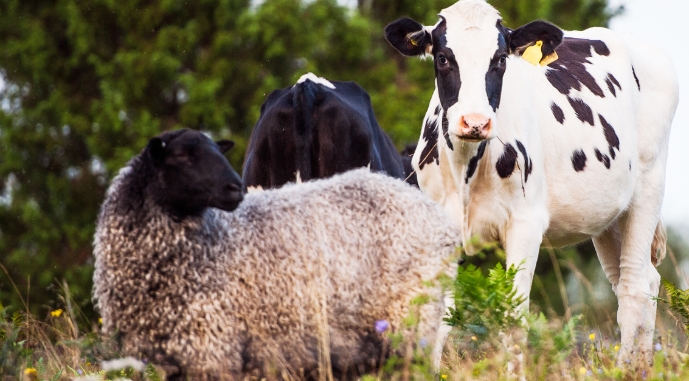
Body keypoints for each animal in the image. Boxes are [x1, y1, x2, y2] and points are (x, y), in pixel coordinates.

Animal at [384, 0, 680, 362]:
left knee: (634, 288)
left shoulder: (525, 223)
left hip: (649, 187)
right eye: (442, 57)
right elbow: (439, 316)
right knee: (640, 281)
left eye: (500, 59)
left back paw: (626, 368)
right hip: (609, 216)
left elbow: (513, 315)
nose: (475, 121)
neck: (468, 169)